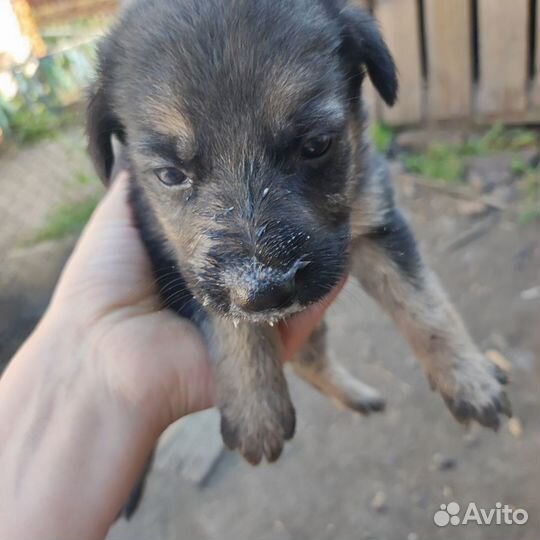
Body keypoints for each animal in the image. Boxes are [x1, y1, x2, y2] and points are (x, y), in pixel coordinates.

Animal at [86, 0, 508, 468]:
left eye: (316, 145)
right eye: (170, 175)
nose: (264, 292)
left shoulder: (378, 221)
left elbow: (424, 305)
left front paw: (469, 378)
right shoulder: (178, 266)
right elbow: (230, 321)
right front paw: (255, 410)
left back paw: (359, 397)